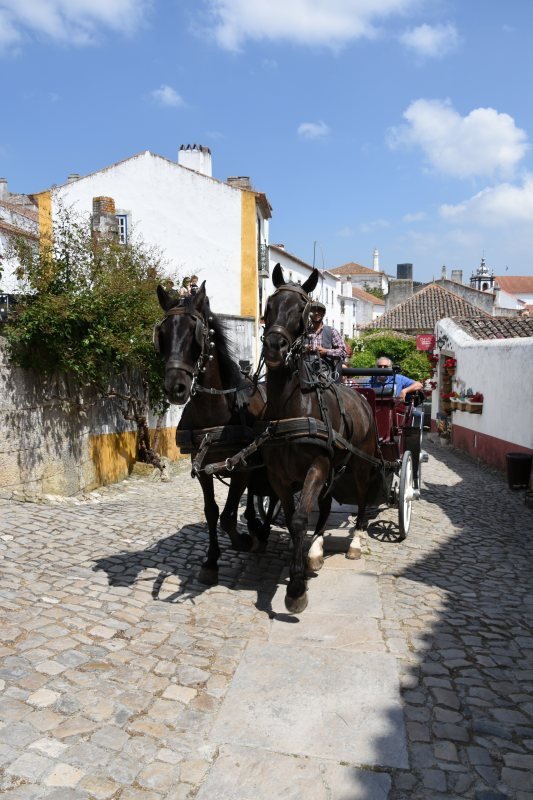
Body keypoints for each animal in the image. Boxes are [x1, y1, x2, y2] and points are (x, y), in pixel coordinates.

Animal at [156, 282, 268, 580]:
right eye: (162, 334)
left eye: (195, 333)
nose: (175, 388)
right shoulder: (203, 467)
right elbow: (211, 511)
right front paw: (210, 561)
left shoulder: (241, 466)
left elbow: (228, 516)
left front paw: (245, 541)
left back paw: (258, 528)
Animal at [260, 268, 378, 612]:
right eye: (269, 303)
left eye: (301, 309)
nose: (274, 346)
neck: (291, 407)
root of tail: (362, 398)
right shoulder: (279, 477)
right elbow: (291, 518)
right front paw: (300, 561)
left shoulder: (316, 466)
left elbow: (301, 519)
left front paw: (296, 589)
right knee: (325, 505)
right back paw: (317, 549)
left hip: (360, 465)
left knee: (362, 500)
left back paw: (355, 542)